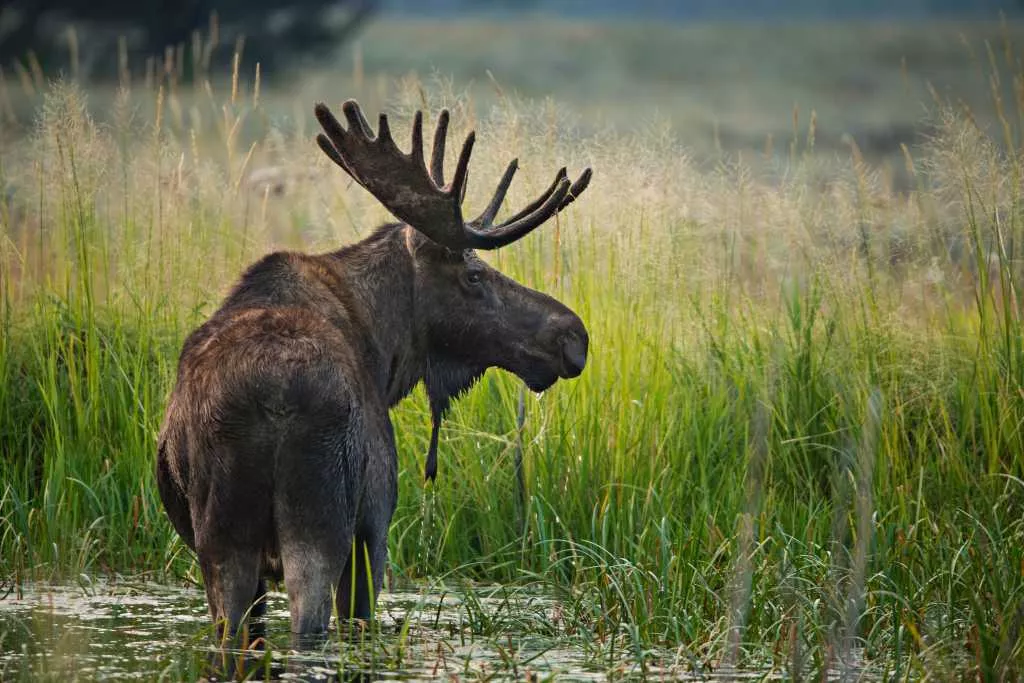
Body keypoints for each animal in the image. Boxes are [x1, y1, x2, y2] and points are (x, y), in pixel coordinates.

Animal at [156, 98, 598, 638]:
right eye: (474, 275)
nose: (572, 335)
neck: (386, 352)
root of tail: (273, 401)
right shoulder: (375, 522)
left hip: (221, 534)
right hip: (323, 517)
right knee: (311, 622)